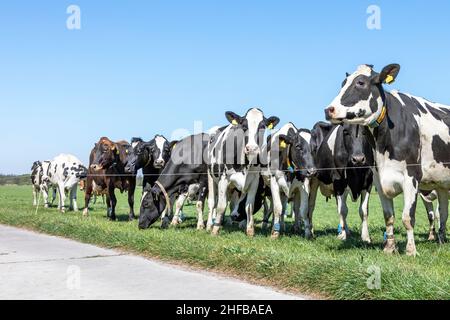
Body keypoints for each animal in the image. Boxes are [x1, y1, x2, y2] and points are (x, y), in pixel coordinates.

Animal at [326, 64, 450, 255]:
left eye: (360, 83)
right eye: (343, 83)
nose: (329, 109)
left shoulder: (411, 177)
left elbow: (408, 217)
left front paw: (411, 250)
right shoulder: (378, 179)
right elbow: (388, 216)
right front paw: (389, 248)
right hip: (442, 182)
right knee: (442, 213)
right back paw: (441, 242)